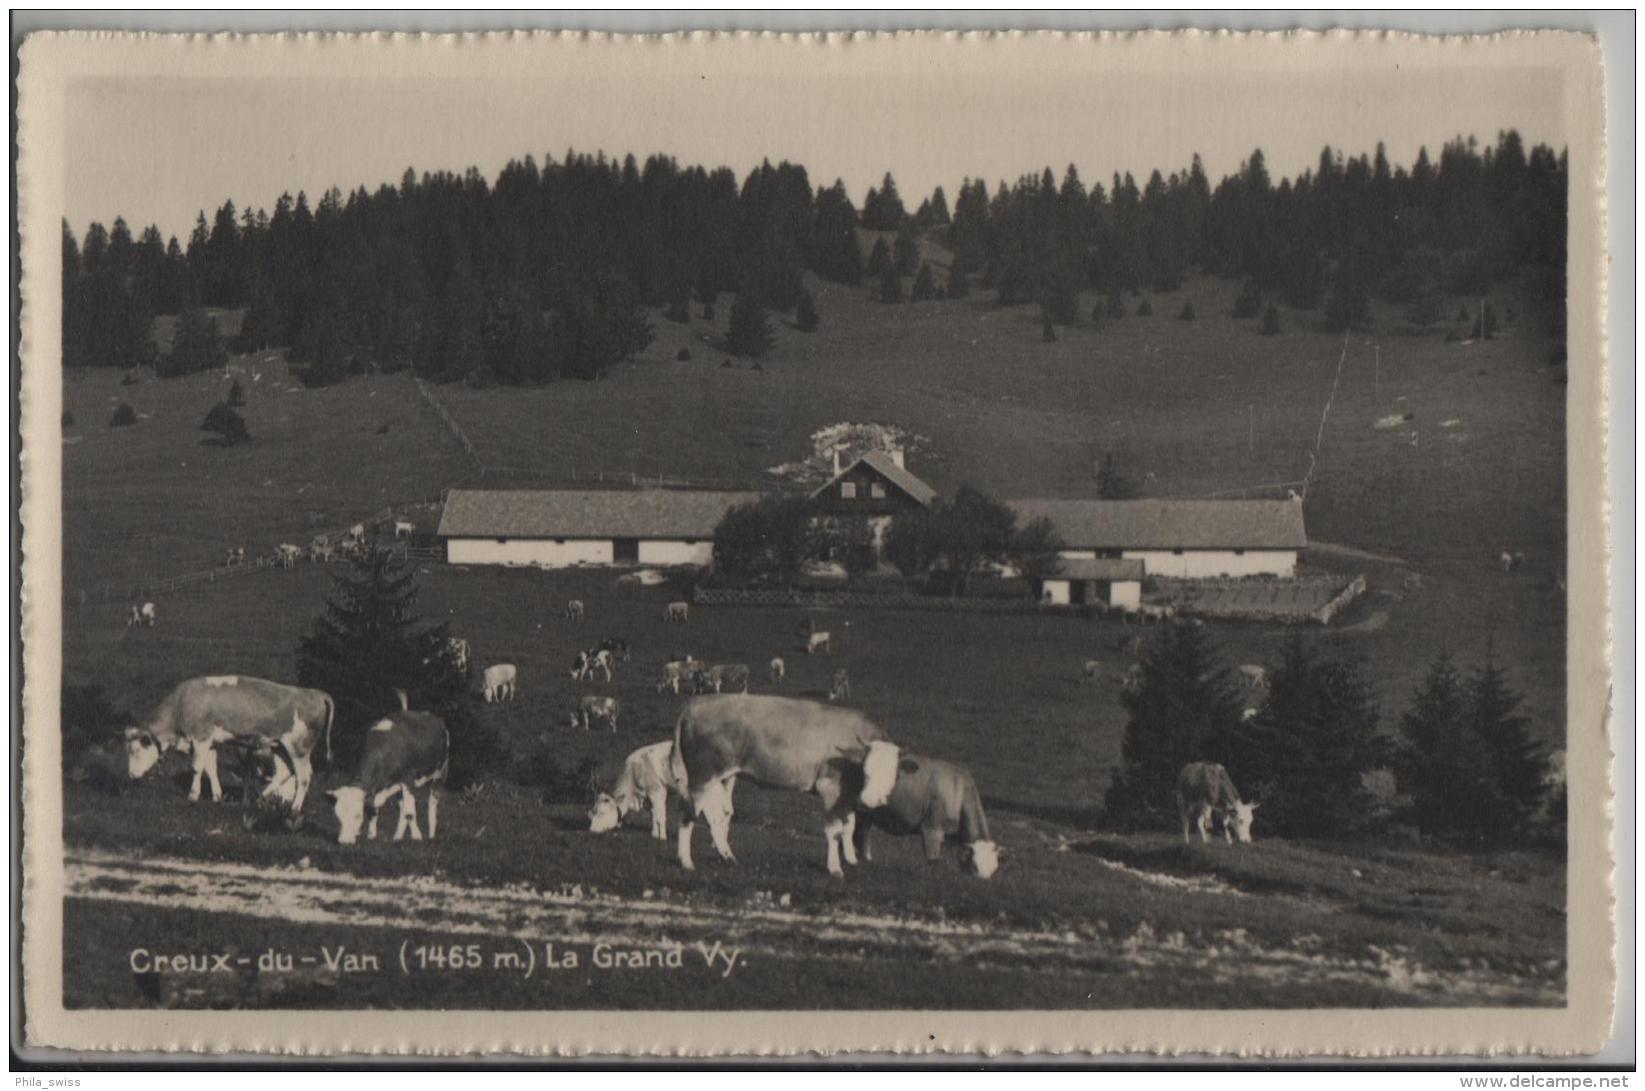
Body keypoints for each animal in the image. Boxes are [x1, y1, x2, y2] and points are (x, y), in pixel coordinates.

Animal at [125, 674, 333, 819]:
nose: (131, 775)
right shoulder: (210, 743)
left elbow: (196, 768)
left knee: (303, 777)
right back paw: (260, 797)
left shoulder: (201, 737)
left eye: (137, 750)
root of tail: (314, 693)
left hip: (298, 747)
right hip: (279, 746)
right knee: (284, 771)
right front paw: (217, 796)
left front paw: (192, 795)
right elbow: (210, 769)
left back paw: (294, 808)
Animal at [325, 714, 450, 849]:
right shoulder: (378, 788)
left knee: (432, 802)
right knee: (402, 807)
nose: (344, 841)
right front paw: (371, 835)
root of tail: (434, 717)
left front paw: (417, 837)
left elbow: (410, 813)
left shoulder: (408, 780)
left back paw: (431, 834)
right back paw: (398, 837)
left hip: (440, 772)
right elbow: (374, 809)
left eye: (357, 815)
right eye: (338, 816)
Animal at [588, 743, 717, 842]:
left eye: (602, 813)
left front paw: (662, 838)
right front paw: (654, 834)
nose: (591, 830)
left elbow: (660, 816)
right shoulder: (649, 795)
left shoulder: (658, 792)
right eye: (593, 812)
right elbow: (653, 814)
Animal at [667, 701, 901, 882]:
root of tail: (694, 705)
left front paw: (851, 860)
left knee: (716, 815)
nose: (870, 800)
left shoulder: (845, 797)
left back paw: (728, 857)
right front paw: (835, 869)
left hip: (718, 779)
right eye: (868, 770)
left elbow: (847, 826)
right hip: (701, 776)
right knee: (688, 815)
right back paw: (686, 861)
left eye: (892, 773)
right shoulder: (830, 787)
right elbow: (834, 831)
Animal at [848, 760, 1000, 882]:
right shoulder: (932, 829)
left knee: (861, 834)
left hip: (866, 813)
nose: (983, 884)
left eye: (994, 870)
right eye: (975, 866)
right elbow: (933, 859)